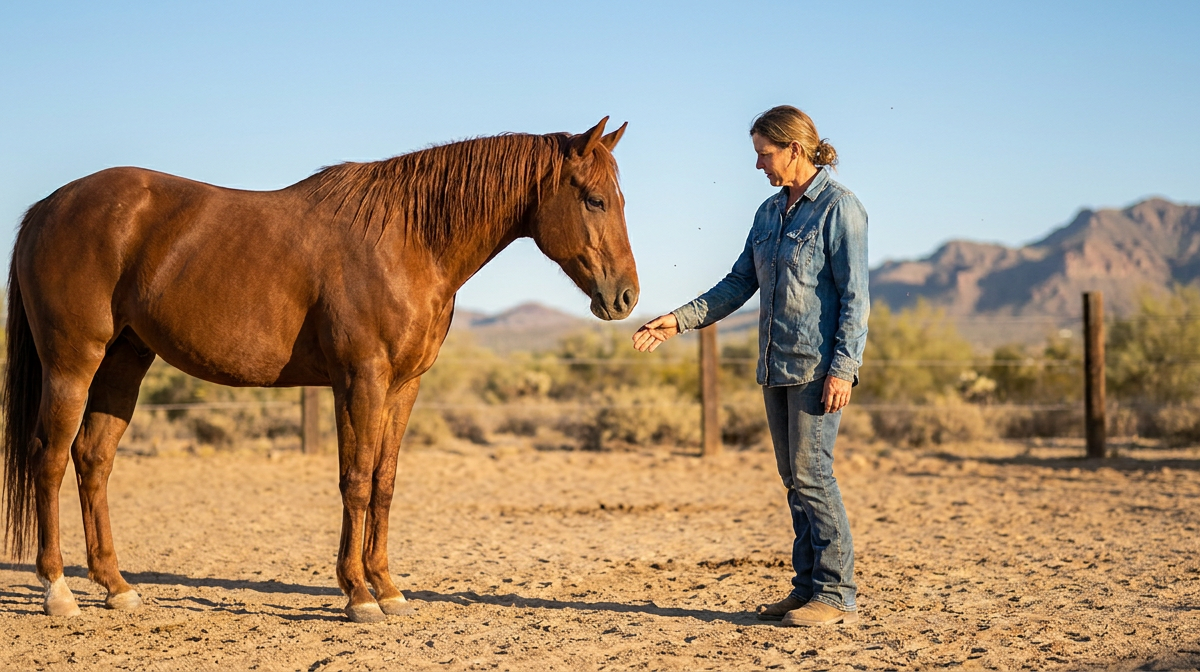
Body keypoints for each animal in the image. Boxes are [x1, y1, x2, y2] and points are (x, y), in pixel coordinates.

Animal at [2, 118, 638, 623]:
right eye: (593, 199)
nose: (626, 296)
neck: (408, 240)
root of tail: (46, 208)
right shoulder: (361, 379)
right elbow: (354, 482)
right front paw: (358, 595)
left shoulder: (403, 387)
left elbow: (383, 483)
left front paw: (388, 588)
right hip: (73, 362)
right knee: (50, 459)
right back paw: (58, 591)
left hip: (123, 362)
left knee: (93, 460)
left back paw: (117, 587)